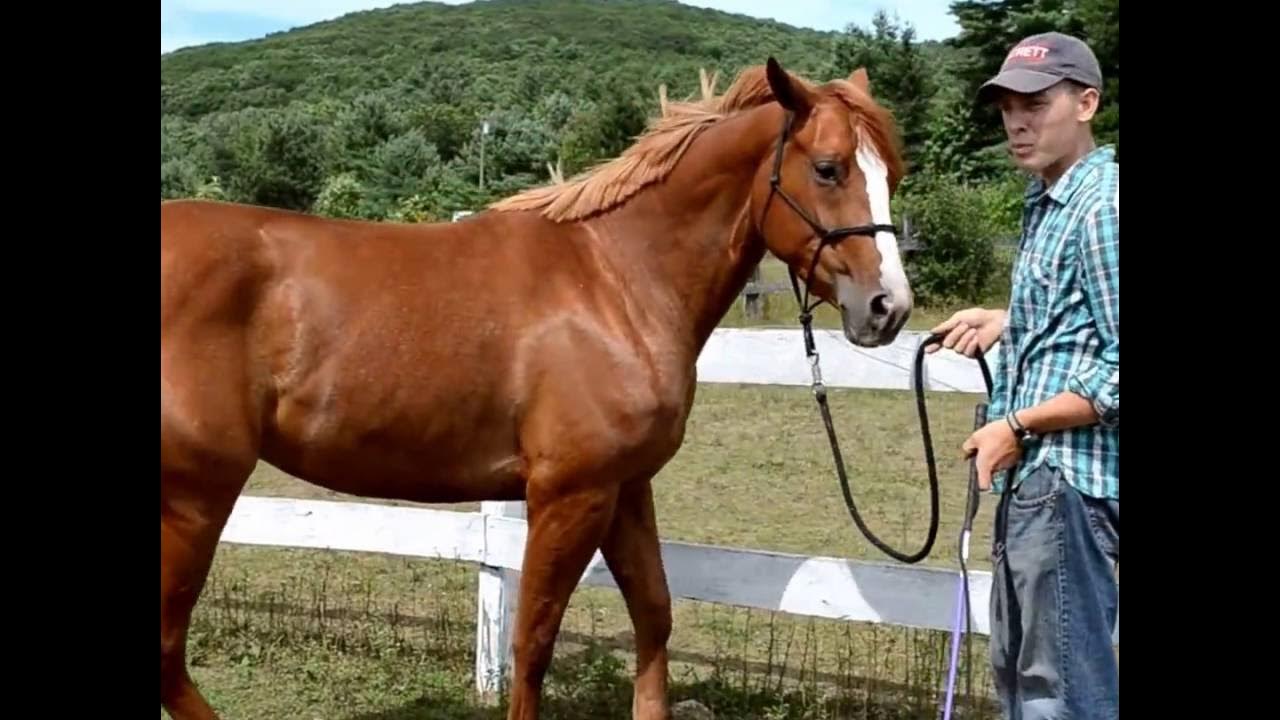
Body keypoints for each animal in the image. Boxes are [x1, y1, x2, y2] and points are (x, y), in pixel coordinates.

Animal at [160, 57, 912, 720]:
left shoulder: (625, 488)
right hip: (197, 496)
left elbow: (654, 615)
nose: (888, 308)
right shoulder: (569, 494)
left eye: (891, 174)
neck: (614, 279)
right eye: (828, 167)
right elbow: (533, 640)